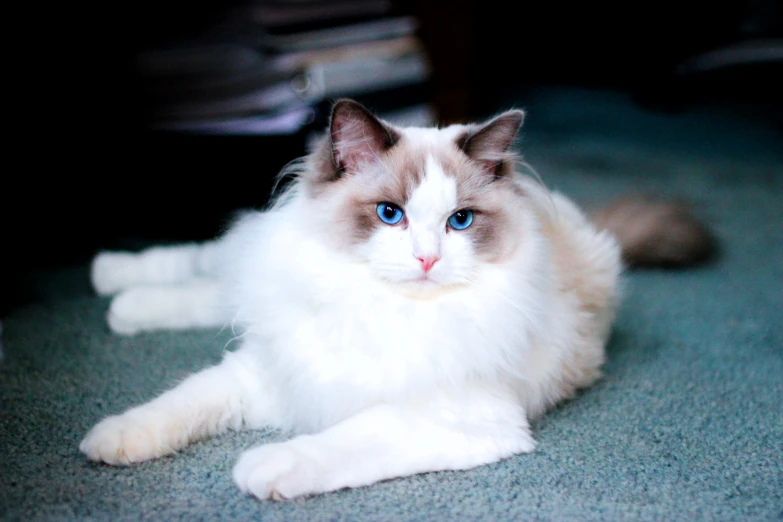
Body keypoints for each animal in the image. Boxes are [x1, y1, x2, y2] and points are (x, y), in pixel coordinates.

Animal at [81, 98, 716, 500]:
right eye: (391, 214)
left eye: (460, 221)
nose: (427, 259)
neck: (376, 308)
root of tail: (578, 216)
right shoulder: (267, 370)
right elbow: (175, 404)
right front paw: (107, 441)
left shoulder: (448, 418)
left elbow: (337, 442)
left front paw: (260, 469)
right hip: (249, 265)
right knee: (207, 264)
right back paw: (112, 279)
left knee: (205, 287)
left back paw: (118, 300)